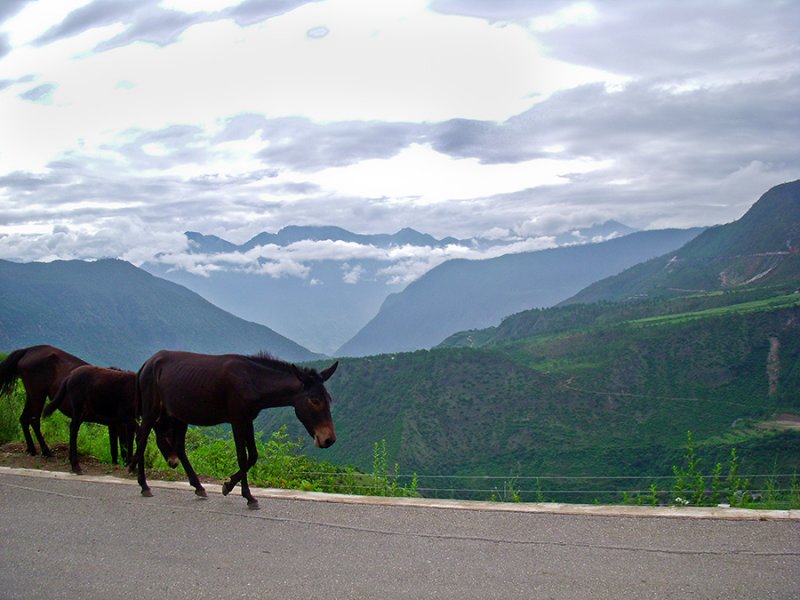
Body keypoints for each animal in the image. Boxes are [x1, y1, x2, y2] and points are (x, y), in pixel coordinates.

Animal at [132, 350, 338, 508]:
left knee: (179, 448)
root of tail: (146, 363)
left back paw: (198, 487)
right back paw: (144, 485)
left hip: (179, 414)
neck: (255, 383)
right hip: (151, 409)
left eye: (329, 399)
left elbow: (253, 455)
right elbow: (242, 456)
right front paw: (248, 496)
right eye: (314, 400)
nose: (329, 439)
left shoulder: (248, 420)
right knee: (142, 439)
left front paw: (228, 485)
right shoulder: (237, 419)